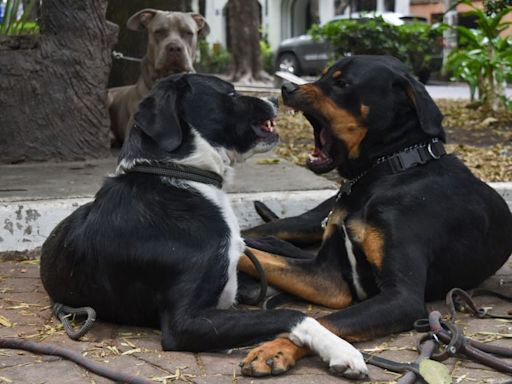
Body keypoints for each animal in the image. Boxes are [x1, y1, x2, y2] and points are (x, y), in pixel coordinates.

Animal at [40, 74, 368, 378]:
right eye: (231, 93)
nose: (276, 97)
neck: (180, 175)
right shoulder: (185, 322)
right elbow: (293, 315)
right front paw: (341, 350)